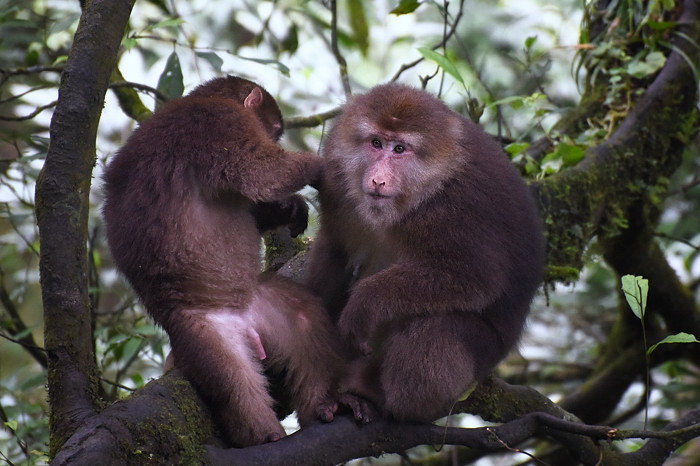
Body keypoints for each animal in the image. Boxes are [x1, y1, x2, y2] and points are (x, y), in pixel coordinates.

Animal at [101, 76, 352, 448]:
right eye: (274, 129)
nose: (274, 137)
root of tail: (244, 322)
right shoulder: (218, 122)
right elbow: (259, 171)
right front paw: (320, 167)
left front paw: (290, 208)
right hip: (202, 333)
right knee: (234, 385)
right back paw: (262, 437)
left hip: (263, 305)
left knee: (305, 318)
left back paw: (324, 406)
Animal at [306, 83, 548, 422]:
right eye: (376, 143)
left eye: (399, 149)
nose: (378, 179)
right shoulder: (336, 181)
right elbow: (335, 250)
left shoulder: (451, 211)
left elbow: (476, 278)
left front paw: (364, 304)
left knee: (438, 326)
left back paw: (382, 394)